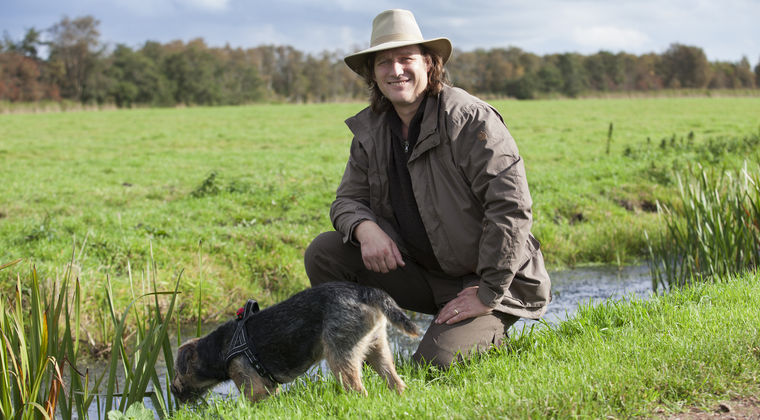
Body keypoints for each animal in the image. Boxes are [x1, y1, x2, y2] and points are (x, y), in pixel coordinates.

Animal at [171, 282, 422, 404]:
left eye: (178, 370)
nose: (172, 390)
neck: (220, 349)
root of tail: (366, 291)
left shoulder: (251, 387)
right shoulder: (269, 387)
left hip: (341, 355)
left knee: (359, 390)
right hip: (378, 349)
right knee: (396, 382)